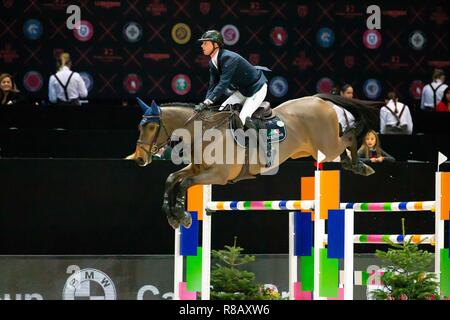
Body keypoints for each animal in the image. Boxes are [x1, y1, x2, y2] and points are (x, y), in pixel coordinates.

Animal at [127, 94, 384, 229]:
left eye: (151, 127)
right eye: (140, 126)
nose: (139, 159)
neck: (203, 131)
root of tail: (318, 99)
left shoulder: (217, 176)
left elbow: (184, 184)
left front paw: (181, 215)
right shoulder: (198, 168)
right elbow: (173, 178)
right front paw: (172, 214)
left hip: (327, 145)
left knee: (350, 135)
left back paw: (360, 165)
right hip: (316, 149)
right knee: (344, 142)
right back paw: (352, 163)